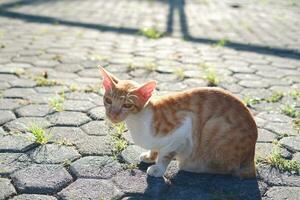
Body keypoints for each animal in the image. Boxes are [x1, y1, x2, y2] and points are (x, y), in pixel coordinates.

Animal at [99, 66, 256, 179]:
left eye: (127, 105)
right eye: (108, 100)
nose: (112, 115)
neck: (137, 119)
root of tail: (251, 157)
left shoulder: (184, 127)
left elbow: (165, 154)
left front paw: (158, 168)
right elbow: (156, 148)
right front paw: (150, 156)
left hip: (213, 126)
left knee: (228, 169)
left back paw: (193, 166)